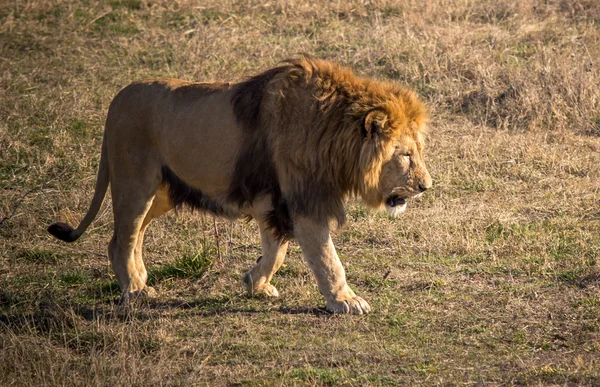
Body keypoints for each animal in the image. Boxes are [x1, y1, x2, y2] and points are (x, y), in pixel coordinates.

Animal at [48, 56, 432, 316]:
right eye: (405, 155)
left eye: (418, 150)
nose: (426, 186)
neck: (335, 136)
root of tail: (116, 100)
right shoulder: (304, 200)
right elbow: (326, 256)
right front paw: (345, 301)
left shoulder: (275, 202)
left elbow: (276, 251)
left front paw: (254, 284)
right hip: (134, 183)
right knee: (121, 239)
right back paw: (133, 291)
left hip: (162, 192)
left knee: (133, 234)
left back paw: (141, 280)